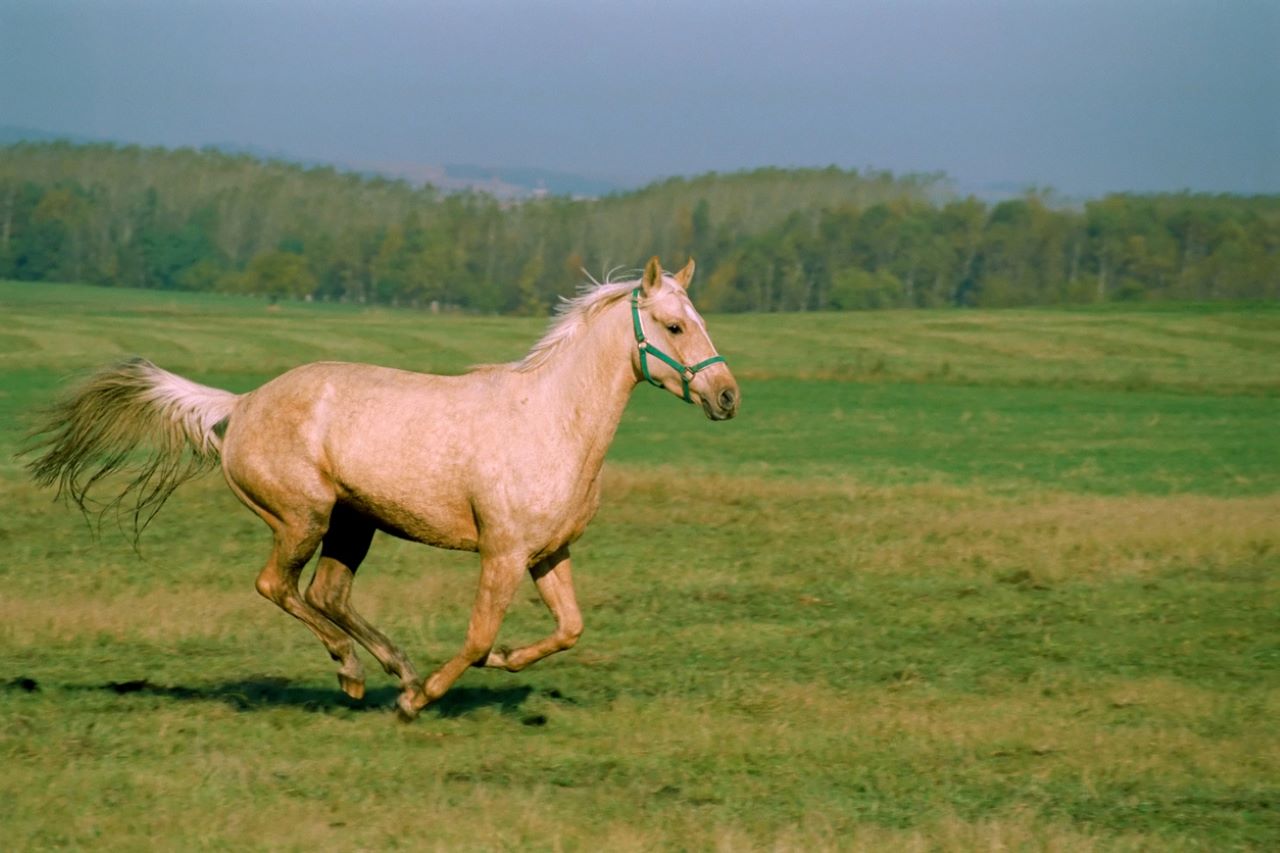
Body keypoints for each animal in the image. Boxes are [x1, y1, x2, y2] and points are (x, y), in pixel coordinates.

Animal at [24, 257, 742, 717]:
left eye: (701, 320)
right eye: (674, 326)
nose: (727, 395)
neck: (550, 418)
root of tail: (242, 403)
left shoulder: (548, 553)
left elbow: (569, 628)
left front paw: (504, 661)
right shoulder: (502, 553)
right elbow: (478, 634)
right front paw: (419, 700)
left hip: (353, 522)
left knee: (327, 593)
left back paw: (390, 666)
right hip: (304, 517)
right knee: (277, 586)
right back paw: (357, 673)